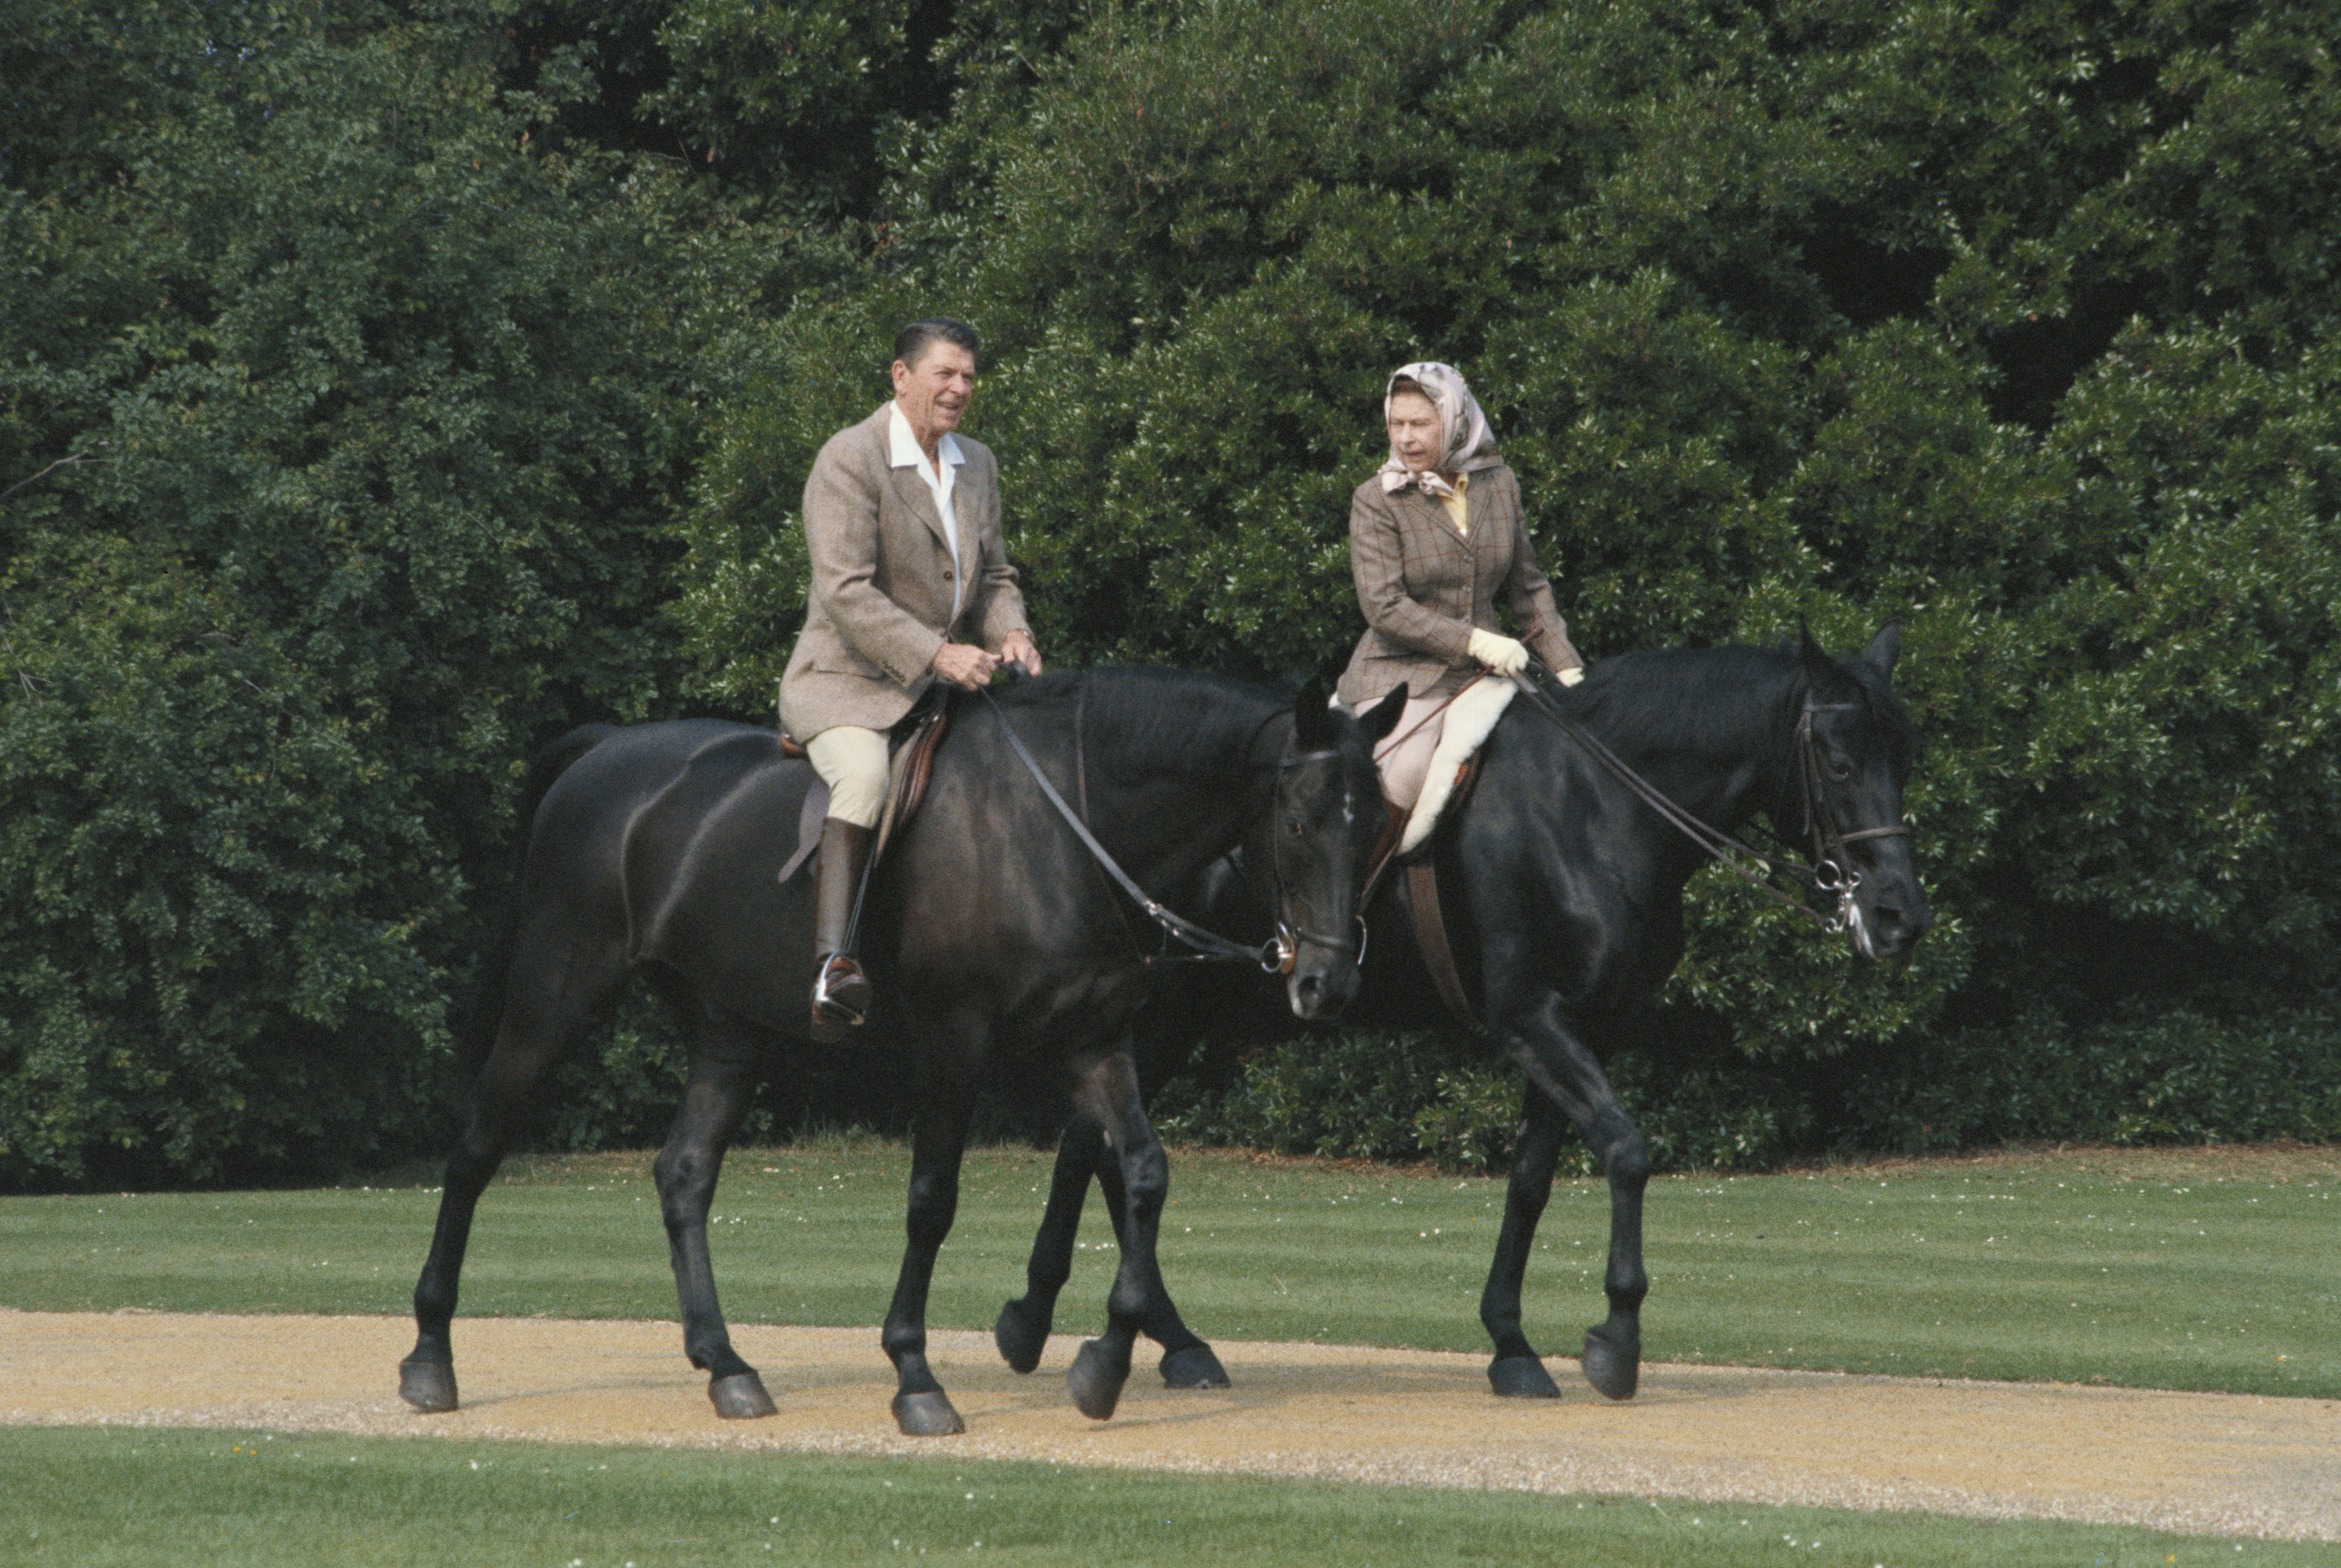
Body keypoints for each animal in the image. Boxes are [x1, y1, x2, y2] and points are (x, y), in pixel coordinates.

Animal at [393, 664, 1395, 1441]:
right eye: (1298, 821)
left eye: (1377, 824)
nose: (1328, 982)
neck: (1061, 825)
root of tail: (605, 750)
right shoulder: (955, 1044)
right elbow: (932, 1202)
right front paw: (915, 1375)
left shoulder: (1093, 1042)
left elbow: (1142, 1172)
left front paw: (1103, 1364)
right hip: (554, 999)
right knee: (475, 1150)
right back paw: (431, 1354)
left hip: (726, 1030)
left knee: (683, 1173)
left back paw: (726, 1365)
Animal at [997, 627, 1929, 1404]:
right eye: (1837, 763)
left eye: (1904, 758)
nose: (1897, 916)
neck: (1594, 806)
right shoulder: (1532, 1020)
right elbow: (1625, 1152)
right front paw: (1616, 1339)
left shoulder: (1583, 1027)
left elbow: (1531, 1181)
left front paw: (1511, 1344)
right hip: (1164, 1010)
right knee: (1094, 1146)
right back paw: (1054, 1320)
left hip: (1190, 1012)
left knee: (1099, 1147)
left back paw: (1159, 1336)